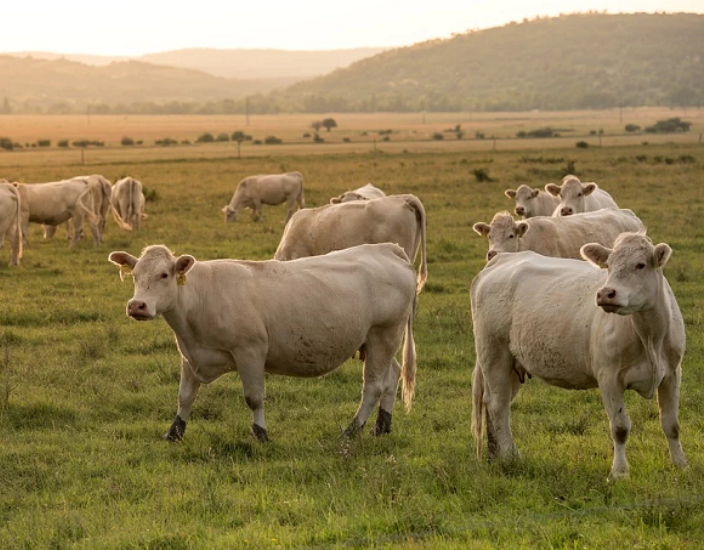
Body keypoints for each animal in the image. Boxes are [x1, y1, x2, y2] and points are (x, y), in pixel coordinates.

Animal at [108, 244, 418, 446]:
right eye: (135, 275)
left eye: (164, 275)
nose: (137, 305)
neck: (200, 297)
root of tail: (387, 249)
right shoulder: (190, 355)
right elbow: (184, 397)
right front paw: (174, 433)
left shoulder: (250, 352)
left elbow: (254, 398)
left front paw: (261, 434)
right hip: (377, 342)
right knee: (391, 376)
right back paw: (382, 427)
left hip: (383, 334)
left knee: (373, 386)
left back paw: (351, 432)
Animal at [468, 231, 688, 480]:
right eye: (609, 265)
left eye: (640, 265)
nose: (605, 293)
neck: (650, 336)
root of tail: (501, 259)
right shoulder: (608, 377)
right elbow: (620, 428)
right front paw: (619, 472)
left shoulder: (672, 373)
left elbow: (671, 424)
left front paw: (681, 464)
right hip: (494, 353)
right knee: (497, 404)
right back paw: (509, 458)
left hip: (513, 364)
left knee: (498, 404)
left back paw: (497, 456)